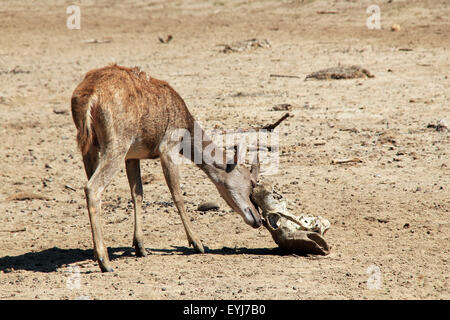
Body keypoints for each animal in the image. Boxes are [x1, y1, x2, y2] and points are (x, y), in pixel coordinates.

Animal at [70, 65, 264, 272]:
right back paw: (104, 262)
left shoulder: (132, 156)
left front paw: (140, 247)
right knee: (92, 187)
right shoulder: (168, 147)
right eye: (251, 184)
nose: (258, 219)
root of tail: (89, 96)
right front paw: (198, 244)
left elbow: (138, 193)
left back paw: (97, 253)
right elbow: (177, 195)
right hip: (117, 144)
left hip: (89, 146)